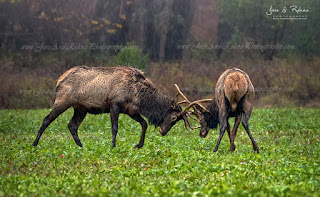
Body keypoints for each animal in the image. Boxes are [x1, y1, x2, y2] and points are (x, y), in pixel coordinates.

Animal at [32, 66, 190, 148]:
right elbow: (115, 128)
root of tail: (59, 80)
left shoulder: (131, 110)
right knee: (47, 119)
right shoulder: (115, 104)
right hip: (63, 100)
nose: (163, 132)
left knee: (72, 125)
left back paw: (81, 146)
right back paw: (34, 144)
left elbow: (144, 123)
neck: (139, 96)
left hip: (81, 108)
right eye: (174, 117)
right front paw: (113, 146)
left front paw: (138, 145)